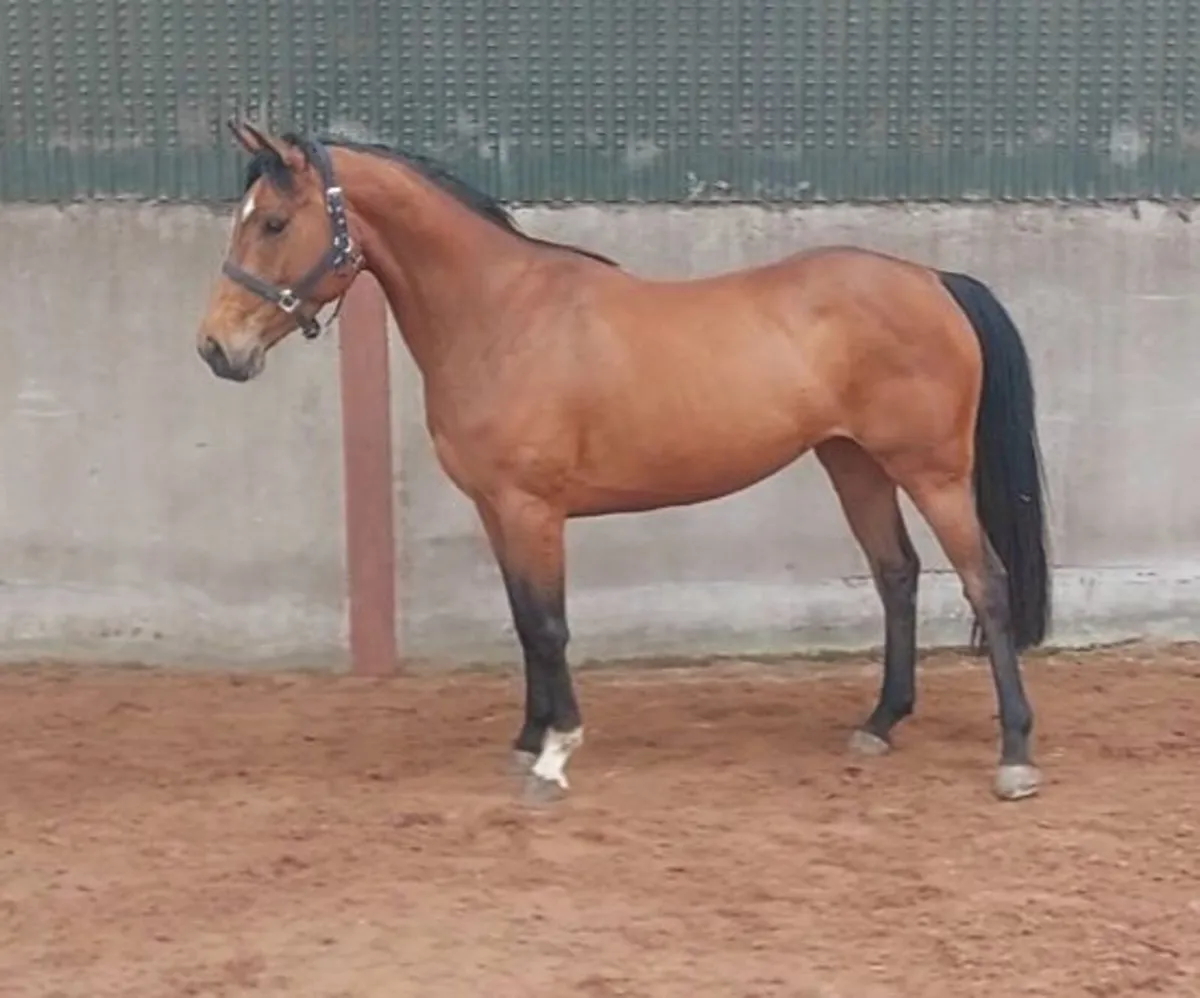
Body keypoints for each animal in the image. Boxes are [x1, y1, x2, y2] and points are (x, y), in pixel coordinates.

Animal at [197, 120, 1050, 804]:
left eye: (274, 222)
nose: (215, 349)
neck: (501, 316)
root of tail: (932, 280)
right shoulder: (496, 509)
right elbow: (522, 621)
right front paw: (525, 742)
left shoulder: (532, 507)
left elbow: (548, 626)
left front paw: (554, 756)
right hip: (854, 463)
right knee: (896, 575)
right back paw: (879, 723)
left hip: (932, 471)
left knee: (986, 583)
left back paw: (1014, 756)